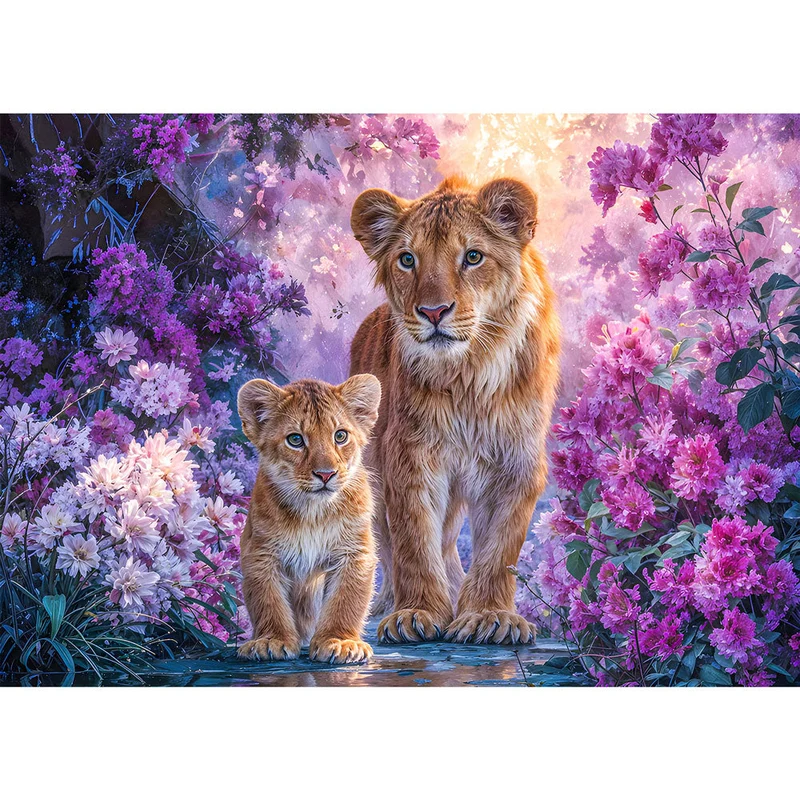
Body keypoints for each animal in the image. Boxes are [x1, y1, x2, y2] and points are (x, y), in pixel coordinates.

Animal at [349, 176, 560, 645]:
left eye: (473, 257)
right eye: (407, 259)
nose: (433, 312)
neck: (469, 378)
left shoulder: (517, 460)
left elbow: (501, 546)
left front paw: (488, 615)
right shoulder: (408, 455)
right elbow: (413, 540)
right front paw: (418, 613)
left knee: (446, 541)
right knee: (392, 542)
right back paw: (392, 601)